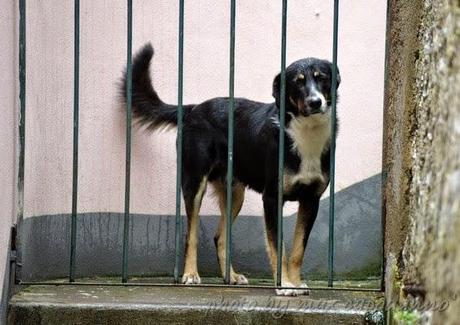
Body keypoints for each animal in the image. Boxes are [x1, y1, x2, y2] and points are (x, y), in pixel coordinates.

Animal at [120, 41, 340, 294]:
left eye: (322, 78)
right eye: (298, 82)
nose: (315, 102)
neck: (304, 131)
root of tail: (194, 108)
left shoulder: (311, 200)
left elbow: (298, 251)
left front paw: (295, 283)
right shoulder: (272, 198)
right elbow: (279, 249)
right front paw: (284, 285)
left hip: (235, 193)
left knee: (220, 237)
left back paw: (231, 276)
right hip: (195, 183)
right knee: (191, 235)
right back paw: (190, 274)